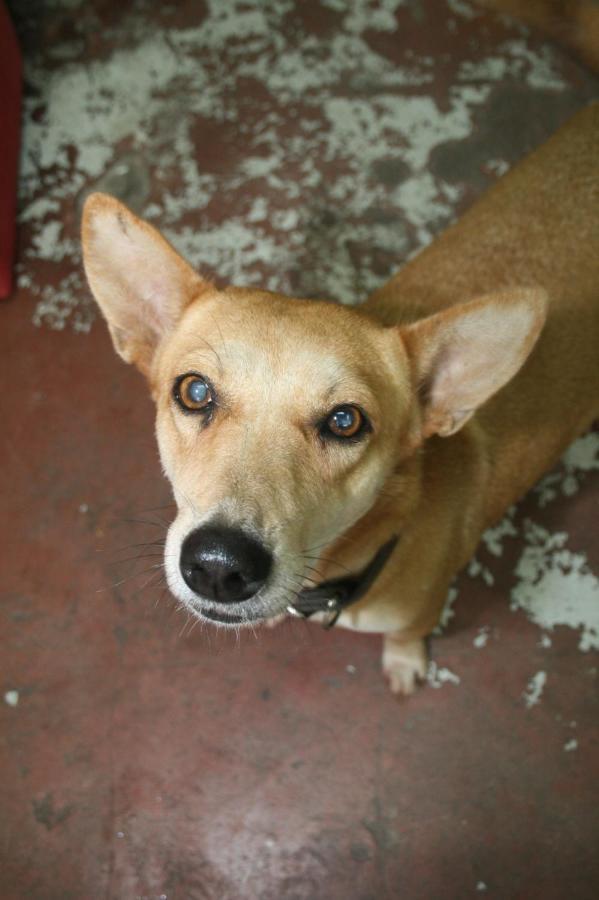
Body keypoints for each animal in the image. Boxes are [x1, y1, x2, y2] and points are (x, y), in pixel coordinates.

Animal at [83, 103, 599, 696]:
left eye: (346, 421)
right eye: (194, 392)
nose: (218, 565)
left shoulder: (421, 611)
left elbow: (405, 637)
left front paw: (404, 663)